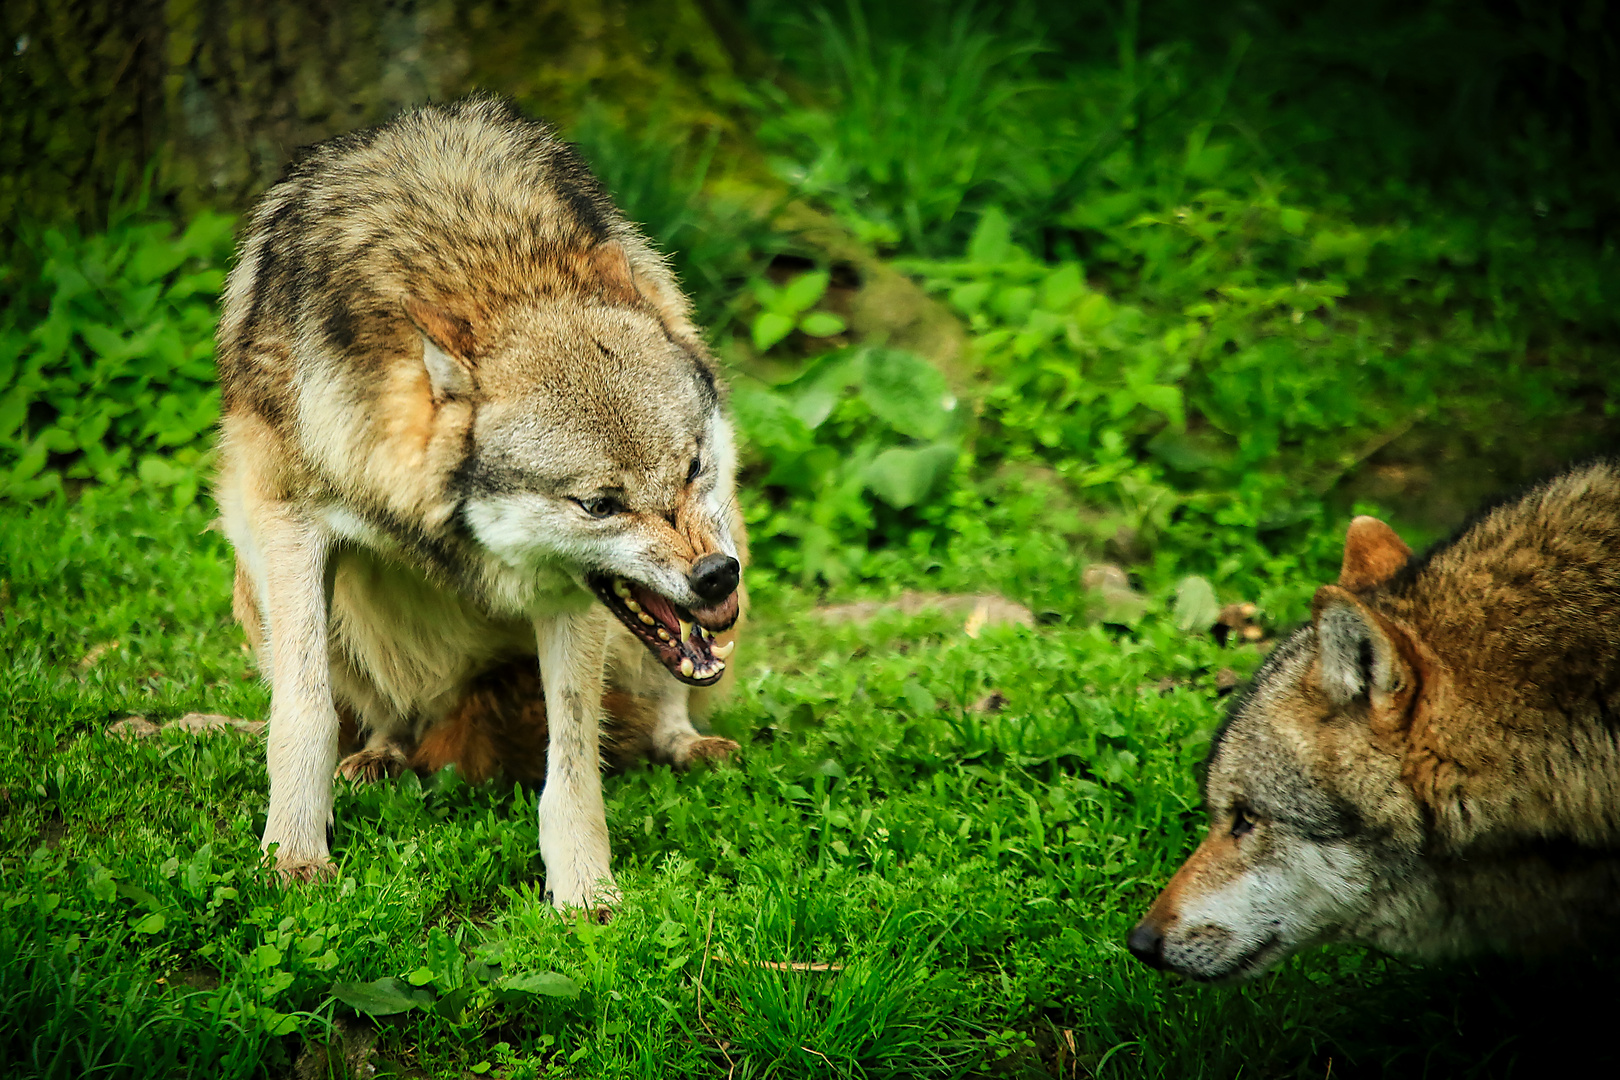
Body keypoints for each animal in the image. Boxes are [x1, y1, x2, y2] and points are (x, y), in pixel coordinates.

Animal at [215, 95, 745, 913]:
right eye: (600, 503)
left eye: (690, 468)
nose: (717, 577)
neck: (486, 260)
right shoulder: (288, 518)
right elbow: (303, 712)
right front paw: (294, 853)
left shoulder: (567, 597)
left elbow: (573, 755)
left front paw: (584, 889)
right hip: (255, 581)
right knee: (378, 716)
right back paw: (380, 758)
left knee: (662, 704)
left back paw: (685, 742)